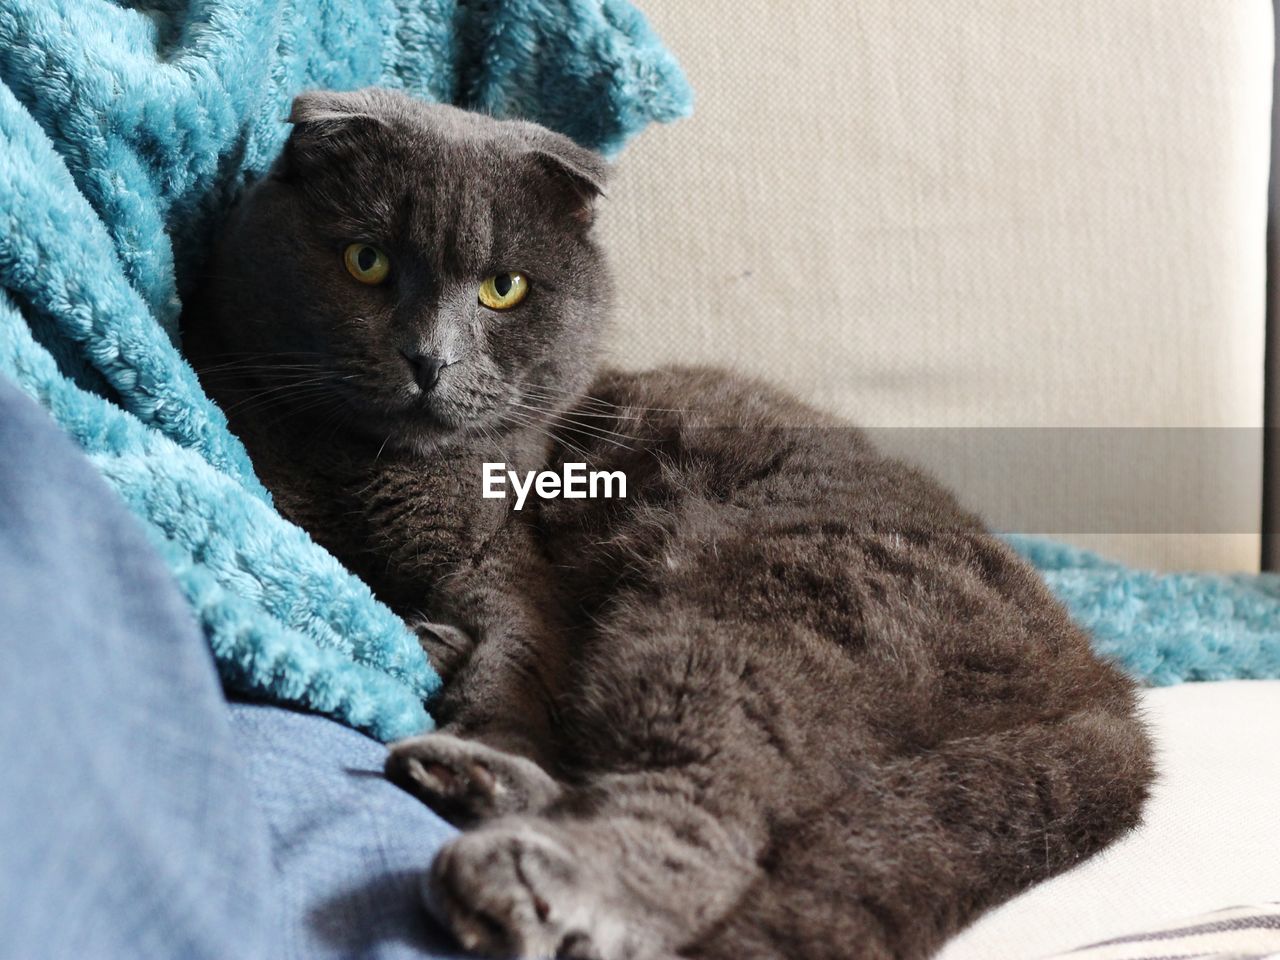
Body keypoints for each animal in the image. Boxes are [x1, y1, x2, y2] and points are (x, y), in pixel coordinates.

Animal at [185, 90, 1157, 960]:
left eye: (503, 289)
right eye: (367, 261)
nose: (432, 359)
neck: (371, 468)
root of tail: (1104, 692)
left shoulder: (513, 564)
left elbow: (519, 650)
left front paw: (480, 705)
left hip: (747, 602)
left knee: (712, 819)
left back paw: (510, 867)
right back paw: (460, 765)